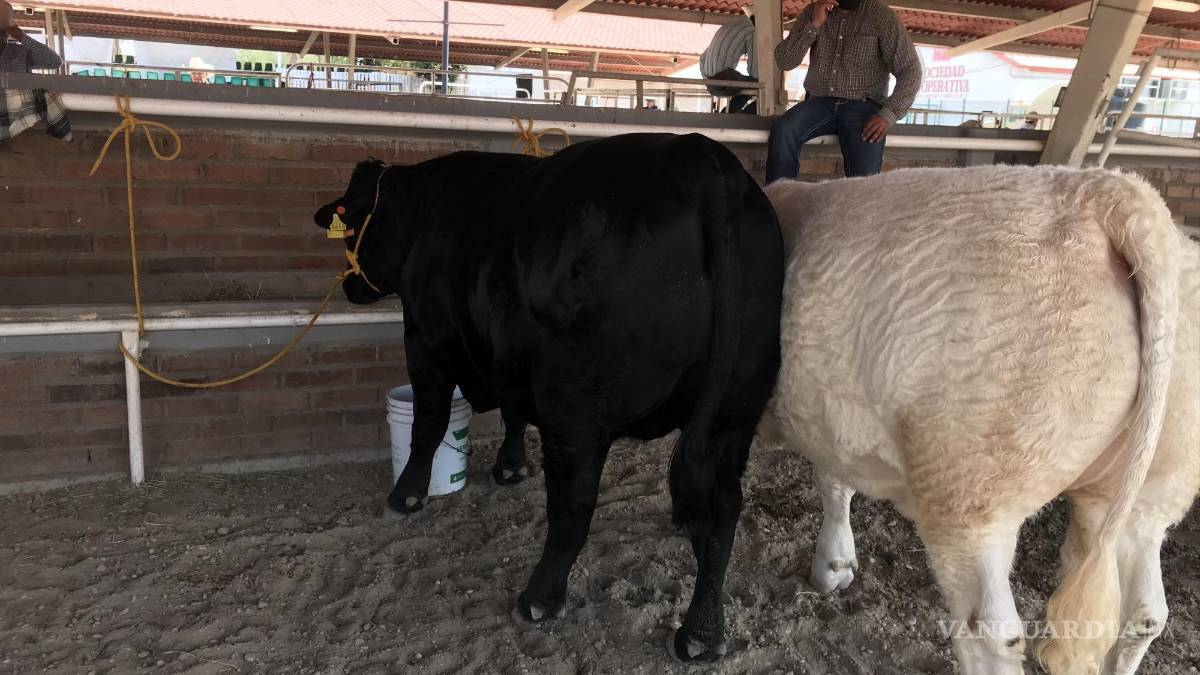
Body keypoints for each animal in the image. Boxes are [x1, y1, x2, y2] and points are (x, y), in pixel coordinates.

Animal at [314, 133, 784, 662]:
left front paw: (406, 495)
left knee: (573, 505)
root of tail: (699, 154)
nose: (349, 285)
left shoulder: (425, 340)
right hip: (734, 413)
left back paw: (539, 598)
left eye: (350, 227)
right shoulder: (508, 359)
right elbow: (513, 414)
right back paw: (702, 630)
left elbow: (428, 426)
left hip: (576, 408)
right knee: (723, 508)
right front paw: (509, 468)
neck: (427, 214)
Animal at [760, 165, 1198, 675]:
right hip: (1152, 486)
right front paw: (835, 564)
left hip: (969, 489)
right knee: (1143, 612)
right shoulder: (828, 409)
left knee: (990, 634)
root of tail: (1112, 192)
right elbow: (834, 478)